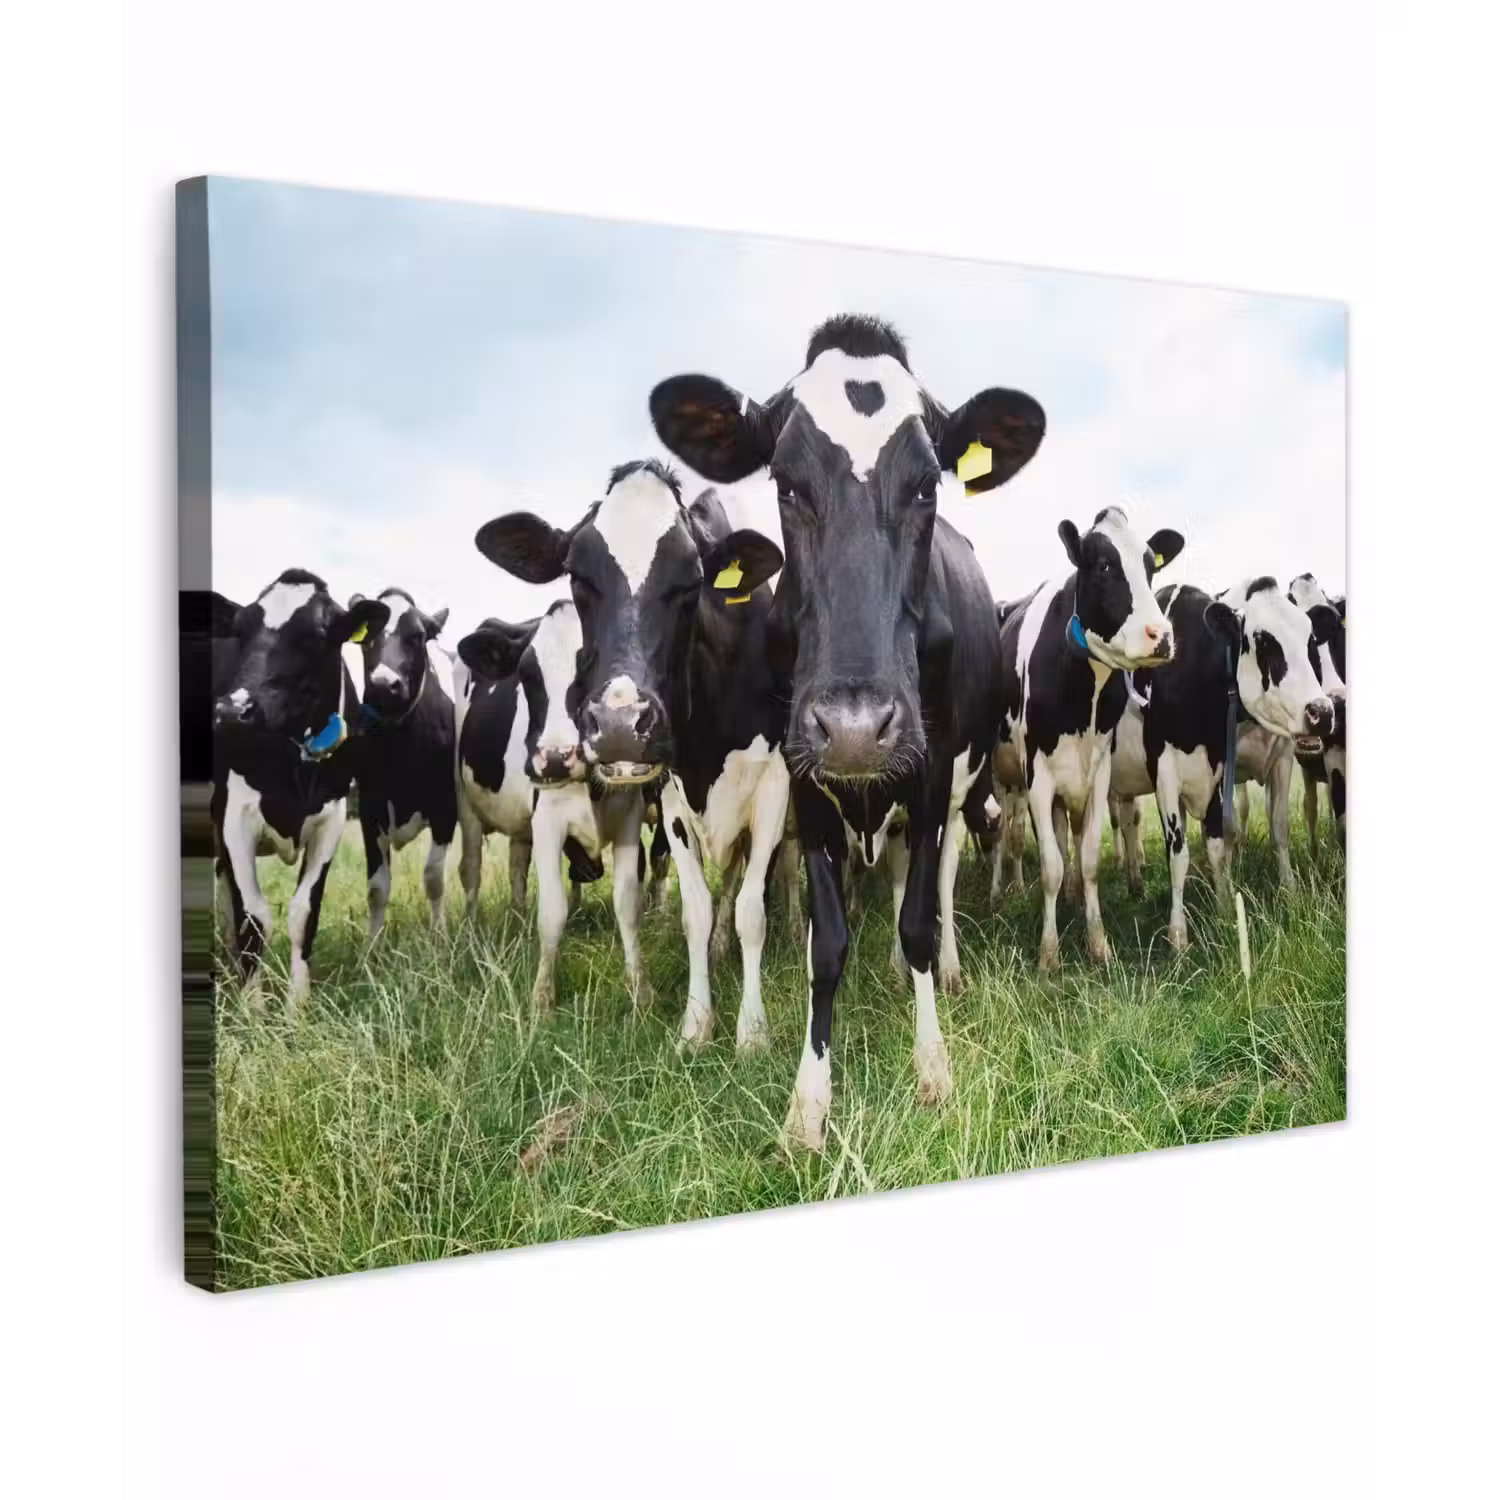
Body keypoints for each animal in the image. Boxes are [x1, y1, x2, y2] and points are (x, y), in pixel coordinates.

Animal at [210, 569, 391, 1013]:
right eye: (240, 630)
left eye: (317, 635)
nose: (231, 711)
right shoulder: (233, 818)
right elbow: (253, 917)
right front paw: (255, 1009)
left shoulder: (332, 819)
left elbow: (303, 913)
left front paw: (297, 1005)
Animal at [344, 587, 457, 937]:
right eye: (366, 638)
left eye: (417, 636)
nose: (384, 685)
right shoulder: (370, 808)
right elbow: (377, 888)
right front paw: (373, 943)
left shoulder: (446, 807)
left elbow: (434, 878)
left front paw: (440, 936)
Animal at [454, 600, 650, 1012]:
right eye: (527, 675)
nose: (556, 758)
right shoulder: (547, 822)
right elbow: (553, 912)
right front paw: (542, 999)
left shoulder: (629, 816)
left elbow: (628, 905)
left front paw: (640, 990)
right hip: (466, 804)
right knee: (471, 870)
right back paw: (472, 933)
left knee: (515, 868)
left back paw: (517, 923)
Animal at [649, 313, 1045, 1150]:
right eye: (785, 483)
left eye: (928, 484)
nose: (859, 728)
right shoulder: (803, 781)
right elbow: (824, 943)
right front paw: (810, 1100)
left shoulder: (930, 773)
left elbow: (921, 916)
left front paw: (932, 1067)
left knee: (937, 880)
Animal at [992, 507, 1184, 971]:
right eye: (1103, 566)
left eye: (1151, 567)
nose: (1162, 635)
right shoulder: (1037, 776)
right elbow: (1050, 866)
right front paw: (1049, 955)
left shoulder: (1097, 774)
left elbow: (1089, 858)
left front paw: (1098, 943)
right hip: (1003, 779)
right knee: (1008, 834)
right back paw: (1003, 892)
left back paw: (1073, 898)